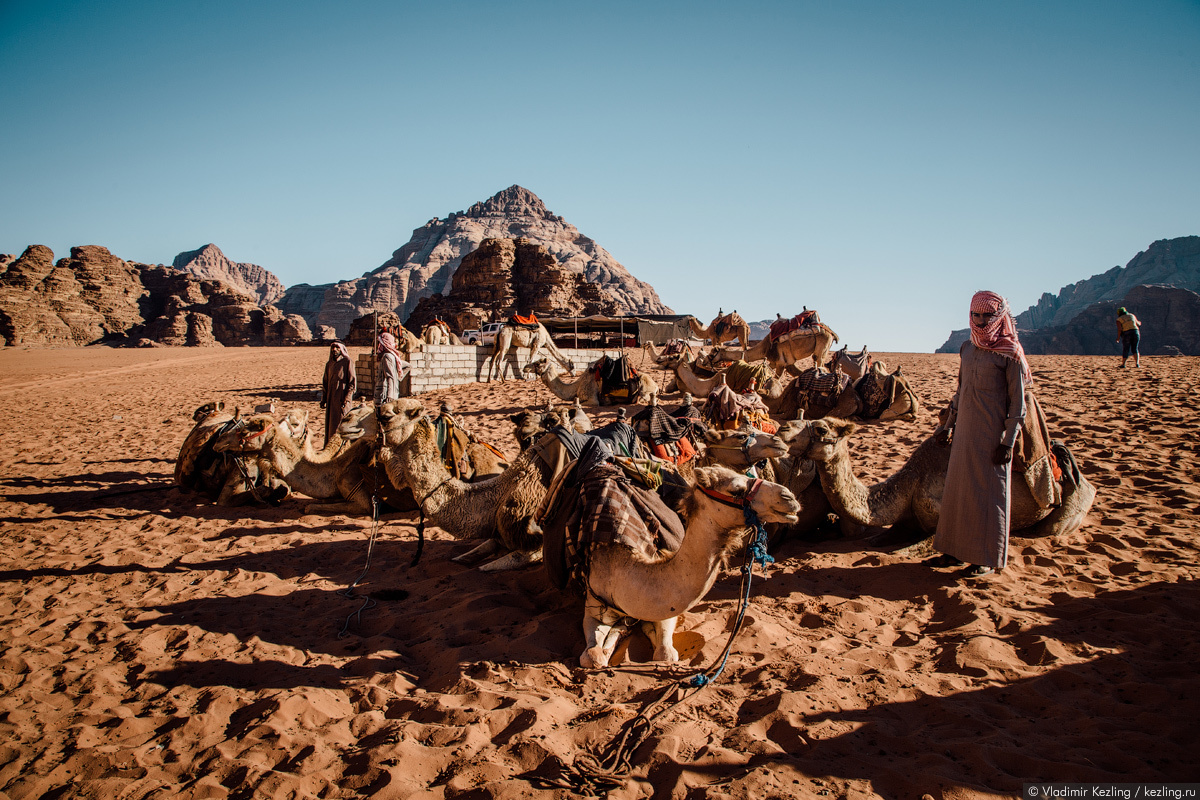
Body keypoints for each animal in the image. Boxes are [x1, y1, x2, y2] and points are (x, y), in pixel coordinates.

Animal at [523, 357, 657, 407]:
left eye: (537, 363)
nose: (525, 367)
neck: (577, 386)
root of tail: (656, 385)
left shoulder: (593, 400)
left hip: (645, 389)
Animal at [578, 465, 796, 666]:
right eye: (736, 490)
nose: (789, 497)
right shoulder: (593, 606)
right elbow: (593, 657)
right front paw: (611, 642)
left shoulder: (665, 611)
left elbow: (666, 654)